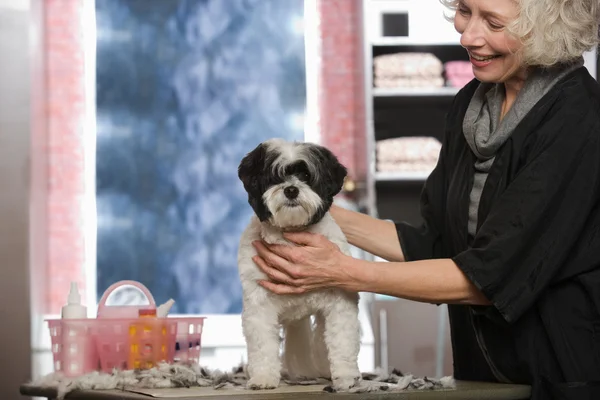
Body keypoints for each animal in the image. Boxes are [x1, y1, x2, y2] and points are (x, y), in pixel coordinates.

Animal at [237, 139, 360, 392]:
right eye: (274, 177)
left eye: (305, 175)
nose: (291, 189)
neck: (290, 236)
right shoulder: (259, 305)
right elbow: (263, 345)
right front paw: (263, 377)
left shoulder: (340, 303)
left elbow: (342, 341)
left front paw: (345, 377)